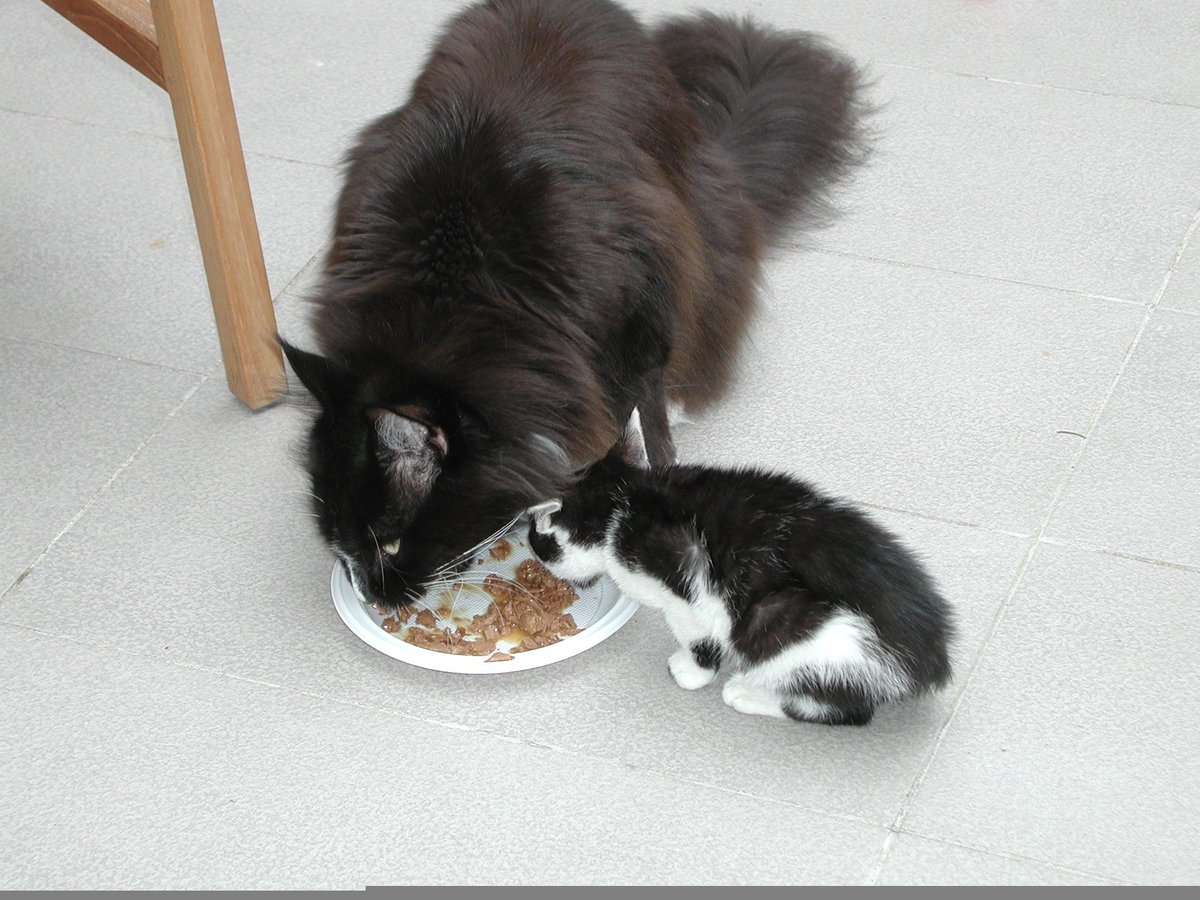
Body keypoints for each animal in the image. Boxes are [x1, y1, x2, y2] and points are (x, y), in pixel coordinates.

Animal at [282, 0, 873, 609]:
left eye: (393, 542)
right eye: (335, 537)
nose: (372, 597)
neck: (452, 301)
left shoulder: (638, 302)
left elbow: (647, 411)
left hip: (697, 235)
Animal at [530, 412, 950, 729]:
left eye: (536, 542)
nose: (535, 551)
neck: (624, 503)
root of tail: (929, 657)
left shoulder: (686, 590)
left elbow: (698, 636)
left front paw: (693, 670)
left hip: (796, 629)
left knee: (844, 710)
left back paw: (748, 693)